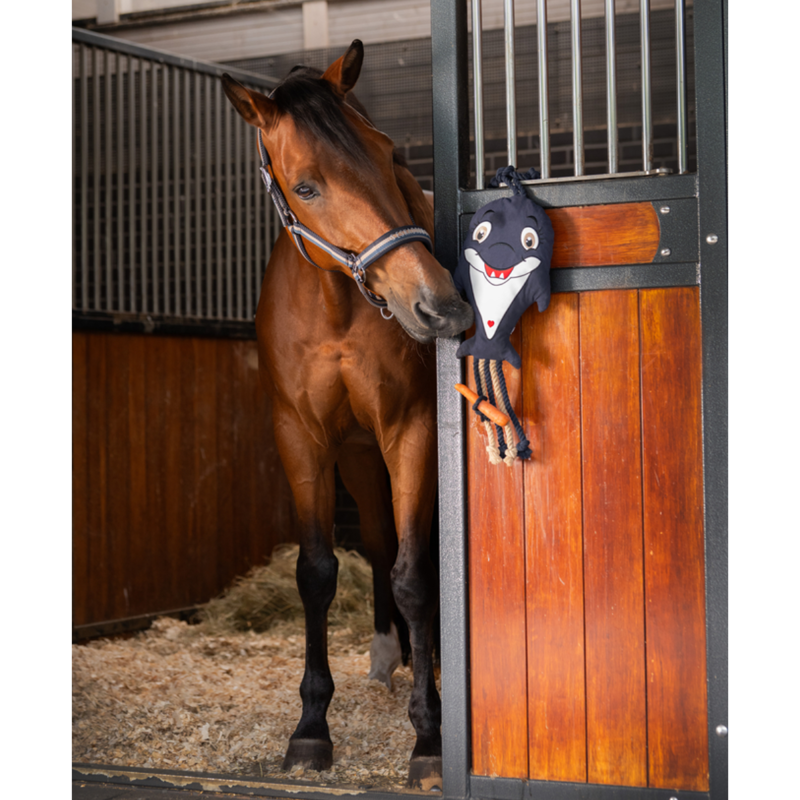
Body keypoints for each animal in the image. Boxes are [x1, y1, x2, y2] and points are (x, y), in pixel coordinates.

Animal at [221, 40, 473, 788]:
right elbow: (318, 572)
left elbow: (416, 575)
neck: (335, 308)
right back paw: (393, 657)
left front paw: (430, 738)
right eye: (306, 187)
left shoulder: (411, 430)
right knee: (382, 541)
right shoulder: (301, 439)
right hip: (359, 460)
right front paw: (310, 728)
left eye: (388, 154)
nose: (440, 305)